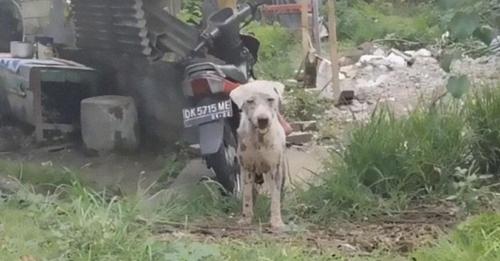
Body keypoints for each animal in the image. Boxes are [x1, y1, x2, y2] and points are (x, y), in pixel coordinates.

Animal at [229, 79, 288, 230]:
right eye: (250, 101)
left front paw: (276, 221)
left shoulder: (275, 169)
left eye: (270, 99)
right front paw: (246, 219)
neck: (259, 138)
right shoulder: (247, 168)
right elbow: (247, 196)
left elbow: (275, 197)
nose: (263, 119)